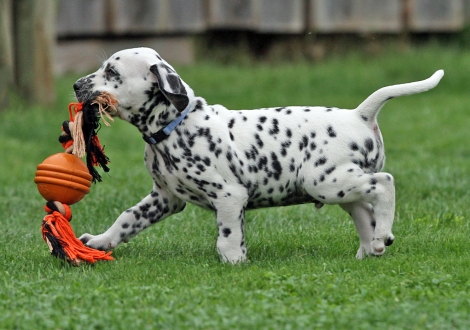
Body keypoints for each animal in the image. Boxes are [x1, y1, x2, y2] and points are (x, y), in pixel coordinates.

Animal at [71, 47, 442, 262]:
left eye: (112, 73)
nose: (75, 85)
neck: (177, 125)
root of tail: (360, 114)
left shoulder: (229, 196)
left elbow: (228, 237)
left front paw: (235, 264)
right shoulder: (165, 197)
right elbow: (127, 219)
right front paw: (100, 242)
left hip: (326, 181)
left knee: (385, 183)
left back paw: (380, 236)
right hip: (341, 187)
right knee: (365, 211)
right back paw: (371, 249)